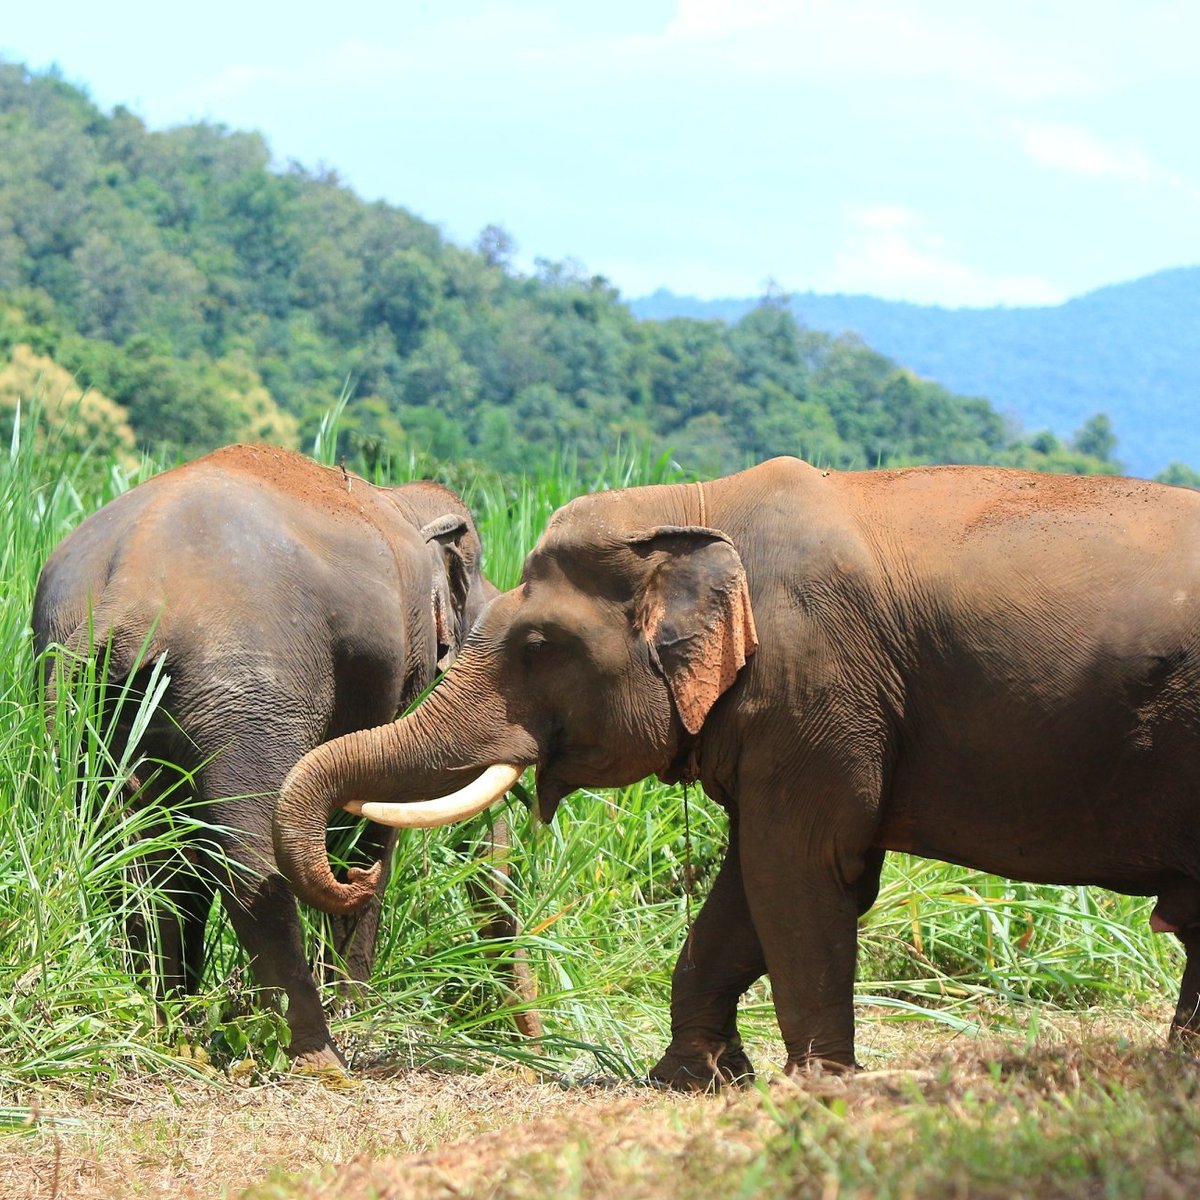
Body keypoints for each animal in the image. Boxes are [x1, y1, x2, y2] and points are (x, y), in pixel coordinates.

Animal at [32, 444, 492, 1070]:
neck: (397, 497)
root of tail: (122, 592)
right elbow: (374, 816)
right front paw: (356, 1007)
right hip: (248, 688)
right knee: (247, 853)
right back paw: (314, 1056)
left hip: (81, 691)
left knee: (128, 845)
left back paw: (171, 1029)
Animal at [274, 456, 1200, 1089]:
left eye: (536, 645)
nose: (356, 871)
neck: (696, 507)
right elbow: (754, 877)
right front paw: (695, 1079)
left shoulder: (818, 682)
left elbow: (799, 865)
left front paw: (819, 1086)